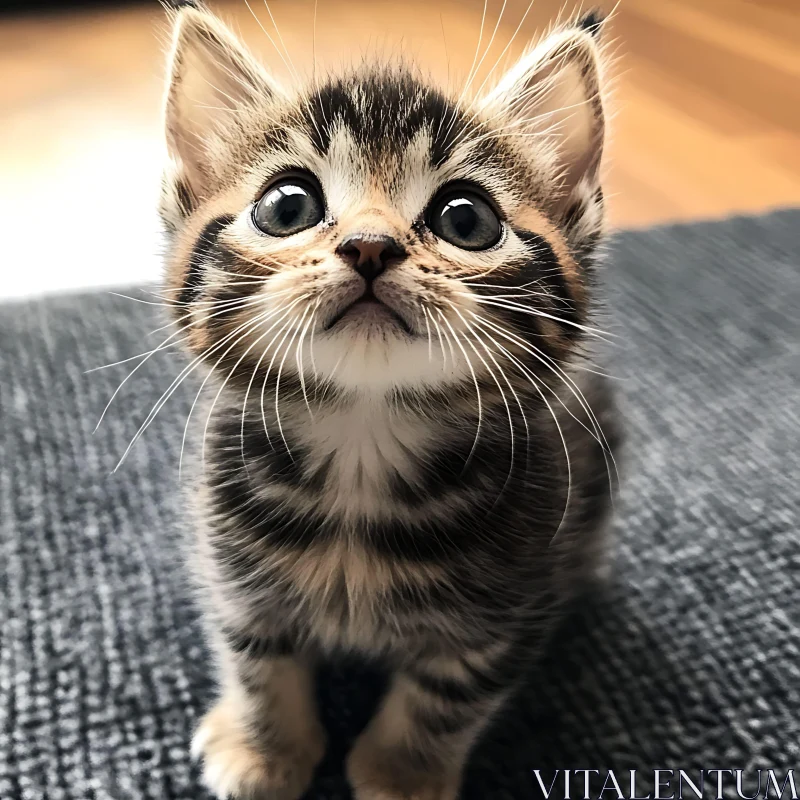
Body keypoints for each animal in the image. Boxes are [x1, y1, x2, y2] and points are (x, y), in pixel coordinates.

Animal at [158, 3, 620, 796]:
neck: (360, 439)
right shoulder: (229, 567)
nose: (370, 245)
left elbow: (444, 697)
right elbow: (257, 660)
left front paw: (401, 773)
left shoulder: (508, 608)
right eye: (287, 206)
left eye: (466, 219)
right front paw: (264, 750)